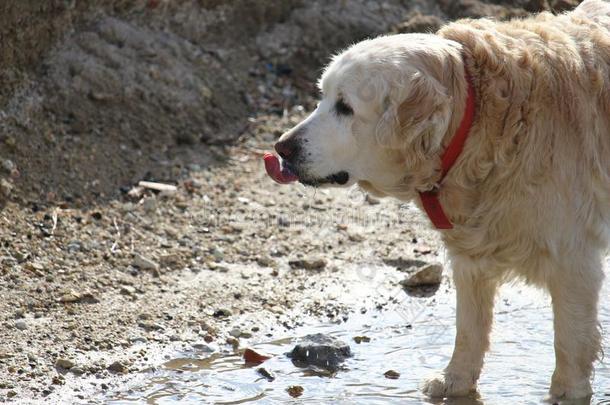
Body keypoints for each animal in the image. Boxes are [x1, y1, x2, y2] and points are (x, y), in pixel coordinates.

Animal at [268, 0, 608, 400]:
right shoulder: (470, 256)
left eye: (345, 107)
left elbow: (570, 341)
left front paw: (564, 394)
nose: (281, 148)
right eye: (322, 97)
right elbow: (469, 328)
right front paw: (454, 381)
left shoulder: (573, 259)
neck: (481, 121)